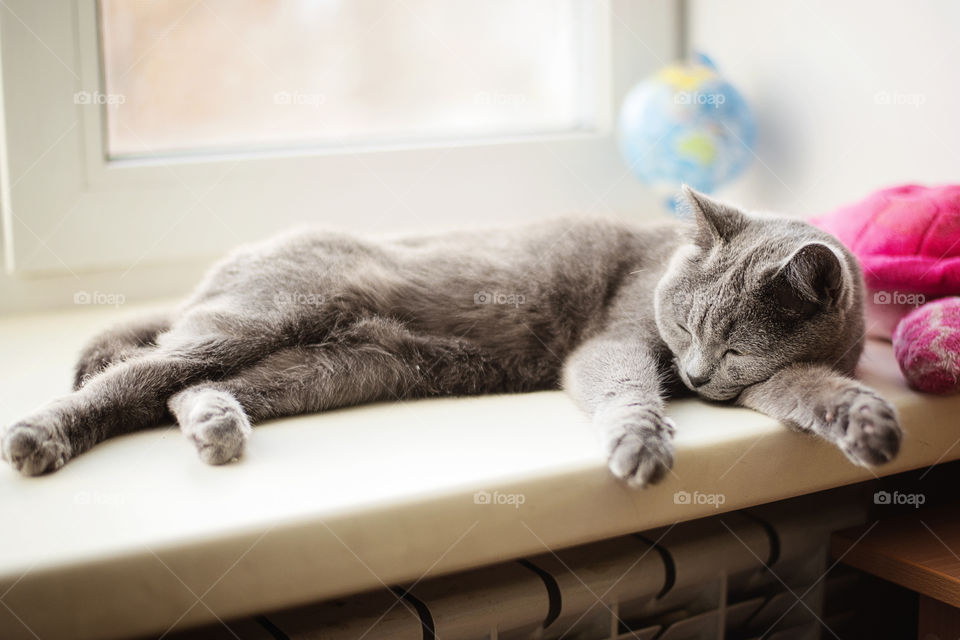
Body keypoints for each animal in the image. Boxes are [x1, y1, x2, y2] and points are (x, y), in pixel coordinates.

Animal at [0, 189, 900, 484]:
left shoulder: (766, 379)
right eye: (679, 322)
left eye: (737, 347)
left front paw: (866, 421)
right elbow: (622, 380)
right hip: (260, 314)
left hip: (329, 367)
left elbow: (805, 388)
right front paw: (641, 443)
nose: (698, 371)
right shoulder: (616, 336)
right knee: (141, 374)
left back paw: (216, 423)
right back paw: (39, 437)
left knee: (180, 385)